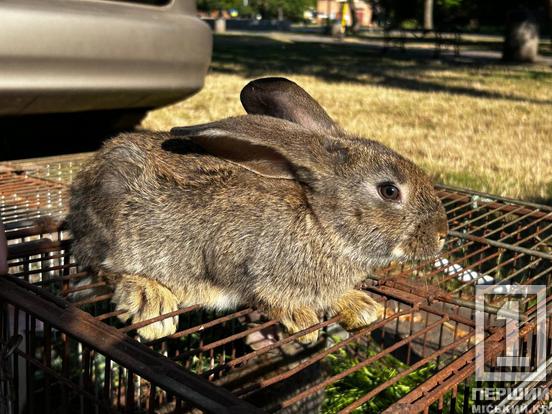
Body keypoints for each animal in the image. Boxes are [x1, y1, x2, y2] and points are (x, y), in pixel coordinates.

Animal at [68, 77, 448, 342]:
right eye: (389, 191)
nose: (442, 234)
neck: (321, 221)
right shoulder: (239, 261)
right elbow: (267, 297)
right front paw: (303, 320)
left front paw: (360, 305)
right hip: (117, 225)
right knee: (102, 268)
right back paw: (152, 301)